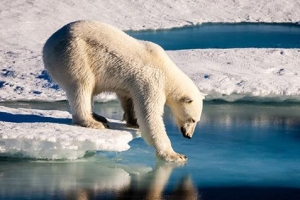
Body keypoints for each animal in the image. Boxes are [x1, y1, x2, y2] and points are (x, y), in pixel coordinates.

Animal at [42, 20, 204, 162]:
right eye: (193, 119)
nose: (188, 135)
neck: (166, 70)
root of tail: (47, 45)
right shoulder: (151, 81)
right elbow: (150, 116)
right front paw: (176, 155)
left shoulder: (133, 83)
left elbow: (128, 98)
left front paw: (133, 121)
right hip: (74, 55)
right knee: (82, 85)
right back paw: (93, 122)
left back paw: (99, 117)